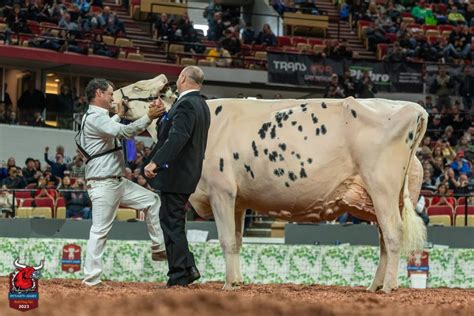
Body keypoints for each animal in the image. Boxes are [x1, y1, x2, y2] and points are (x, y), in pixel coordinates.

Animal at [116, 76, 428, 294]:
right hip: (386, 196)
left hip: (382, 188)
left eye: (139, 86)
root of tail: (413, 107)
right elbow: (237, 241)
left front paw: (226, 285)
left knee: (393, 234)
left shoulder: (221, 191)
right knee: (385, 239)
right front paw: (238, 282)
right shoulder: (238, 201)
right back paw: (374, 286)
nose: (116, 96)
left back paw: (387, 287)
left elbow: (226, 240)